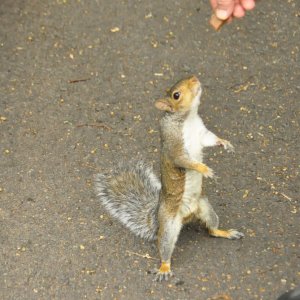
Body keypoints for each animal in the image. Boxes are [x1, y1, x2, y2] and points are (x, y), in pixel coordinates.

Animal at [95, 75, 245, 282]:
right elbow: (185, 160)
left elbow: (211, 139)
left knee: (211, 228)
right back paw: (164, 267)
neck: (187, 119)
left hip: (206, 208)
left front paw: (224, 143)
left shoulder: (202, 133)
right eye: (176, 95)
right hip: (168, 227)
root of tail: (187, 216)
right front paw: (204, 169)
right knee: (165, 248)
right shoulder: (175, 148)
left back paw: (225, 232)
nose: (194, 78)